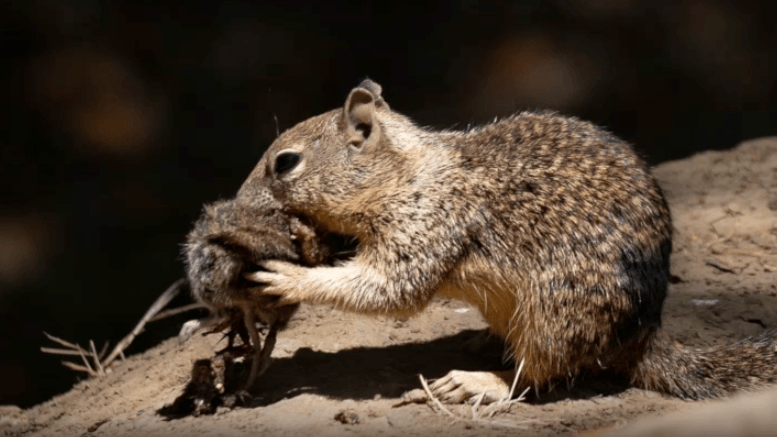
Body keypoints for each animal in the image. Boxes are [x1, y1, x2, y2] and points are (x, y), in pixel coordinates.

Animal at [236, 81, 776, 402]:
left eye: (286, 162)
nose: (238, 201)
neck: (405, 175)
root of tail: (642, 335)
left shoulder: (428, 224)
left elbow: (391, 287)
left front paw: (289, 277)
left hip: (555, 314)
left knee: (537, 375)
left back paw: (477, 381)